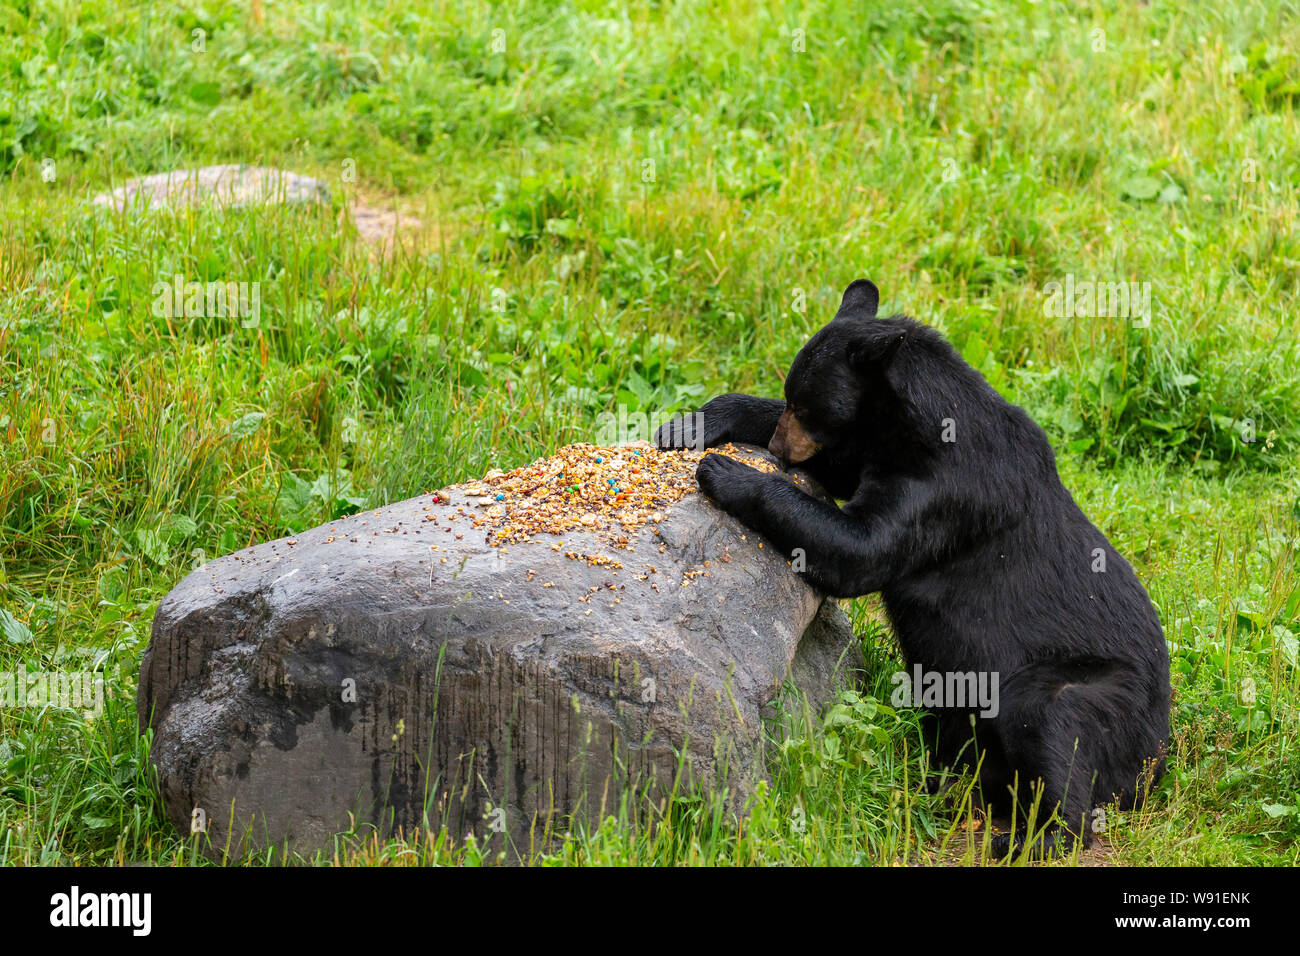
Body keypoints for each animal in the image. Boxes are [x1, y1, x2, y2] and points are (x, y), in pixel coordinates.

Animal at [656, 279, 1171, 855]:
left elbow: (859, 549)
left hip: (1097, 695)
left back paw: (1024, 836)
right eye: (791, 400)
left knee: (1053, 727)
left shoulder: (948, 490)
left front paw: (725, 471)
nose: (778, 450)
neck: (917, 427)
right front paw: (693, 423)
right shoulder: (875, 452)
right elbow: (840, 472)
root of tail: (1158, 757)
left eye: (807, 407)